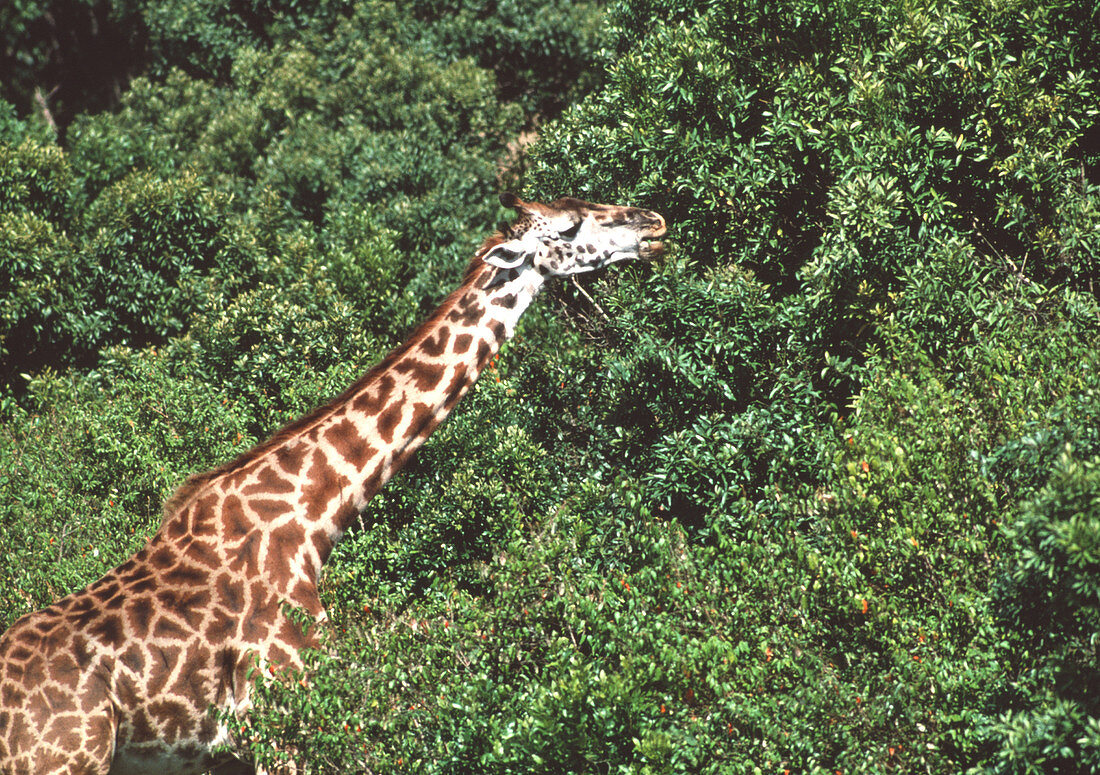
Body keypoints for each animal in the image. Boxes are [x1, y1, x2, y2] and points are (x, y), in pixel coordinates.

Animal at [0, 193, 664, 773]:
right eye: (571, 225)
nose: (652, 223)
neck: (312, 518)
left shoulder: (221, 752)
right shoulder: (283, 714)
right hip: (68, 762)